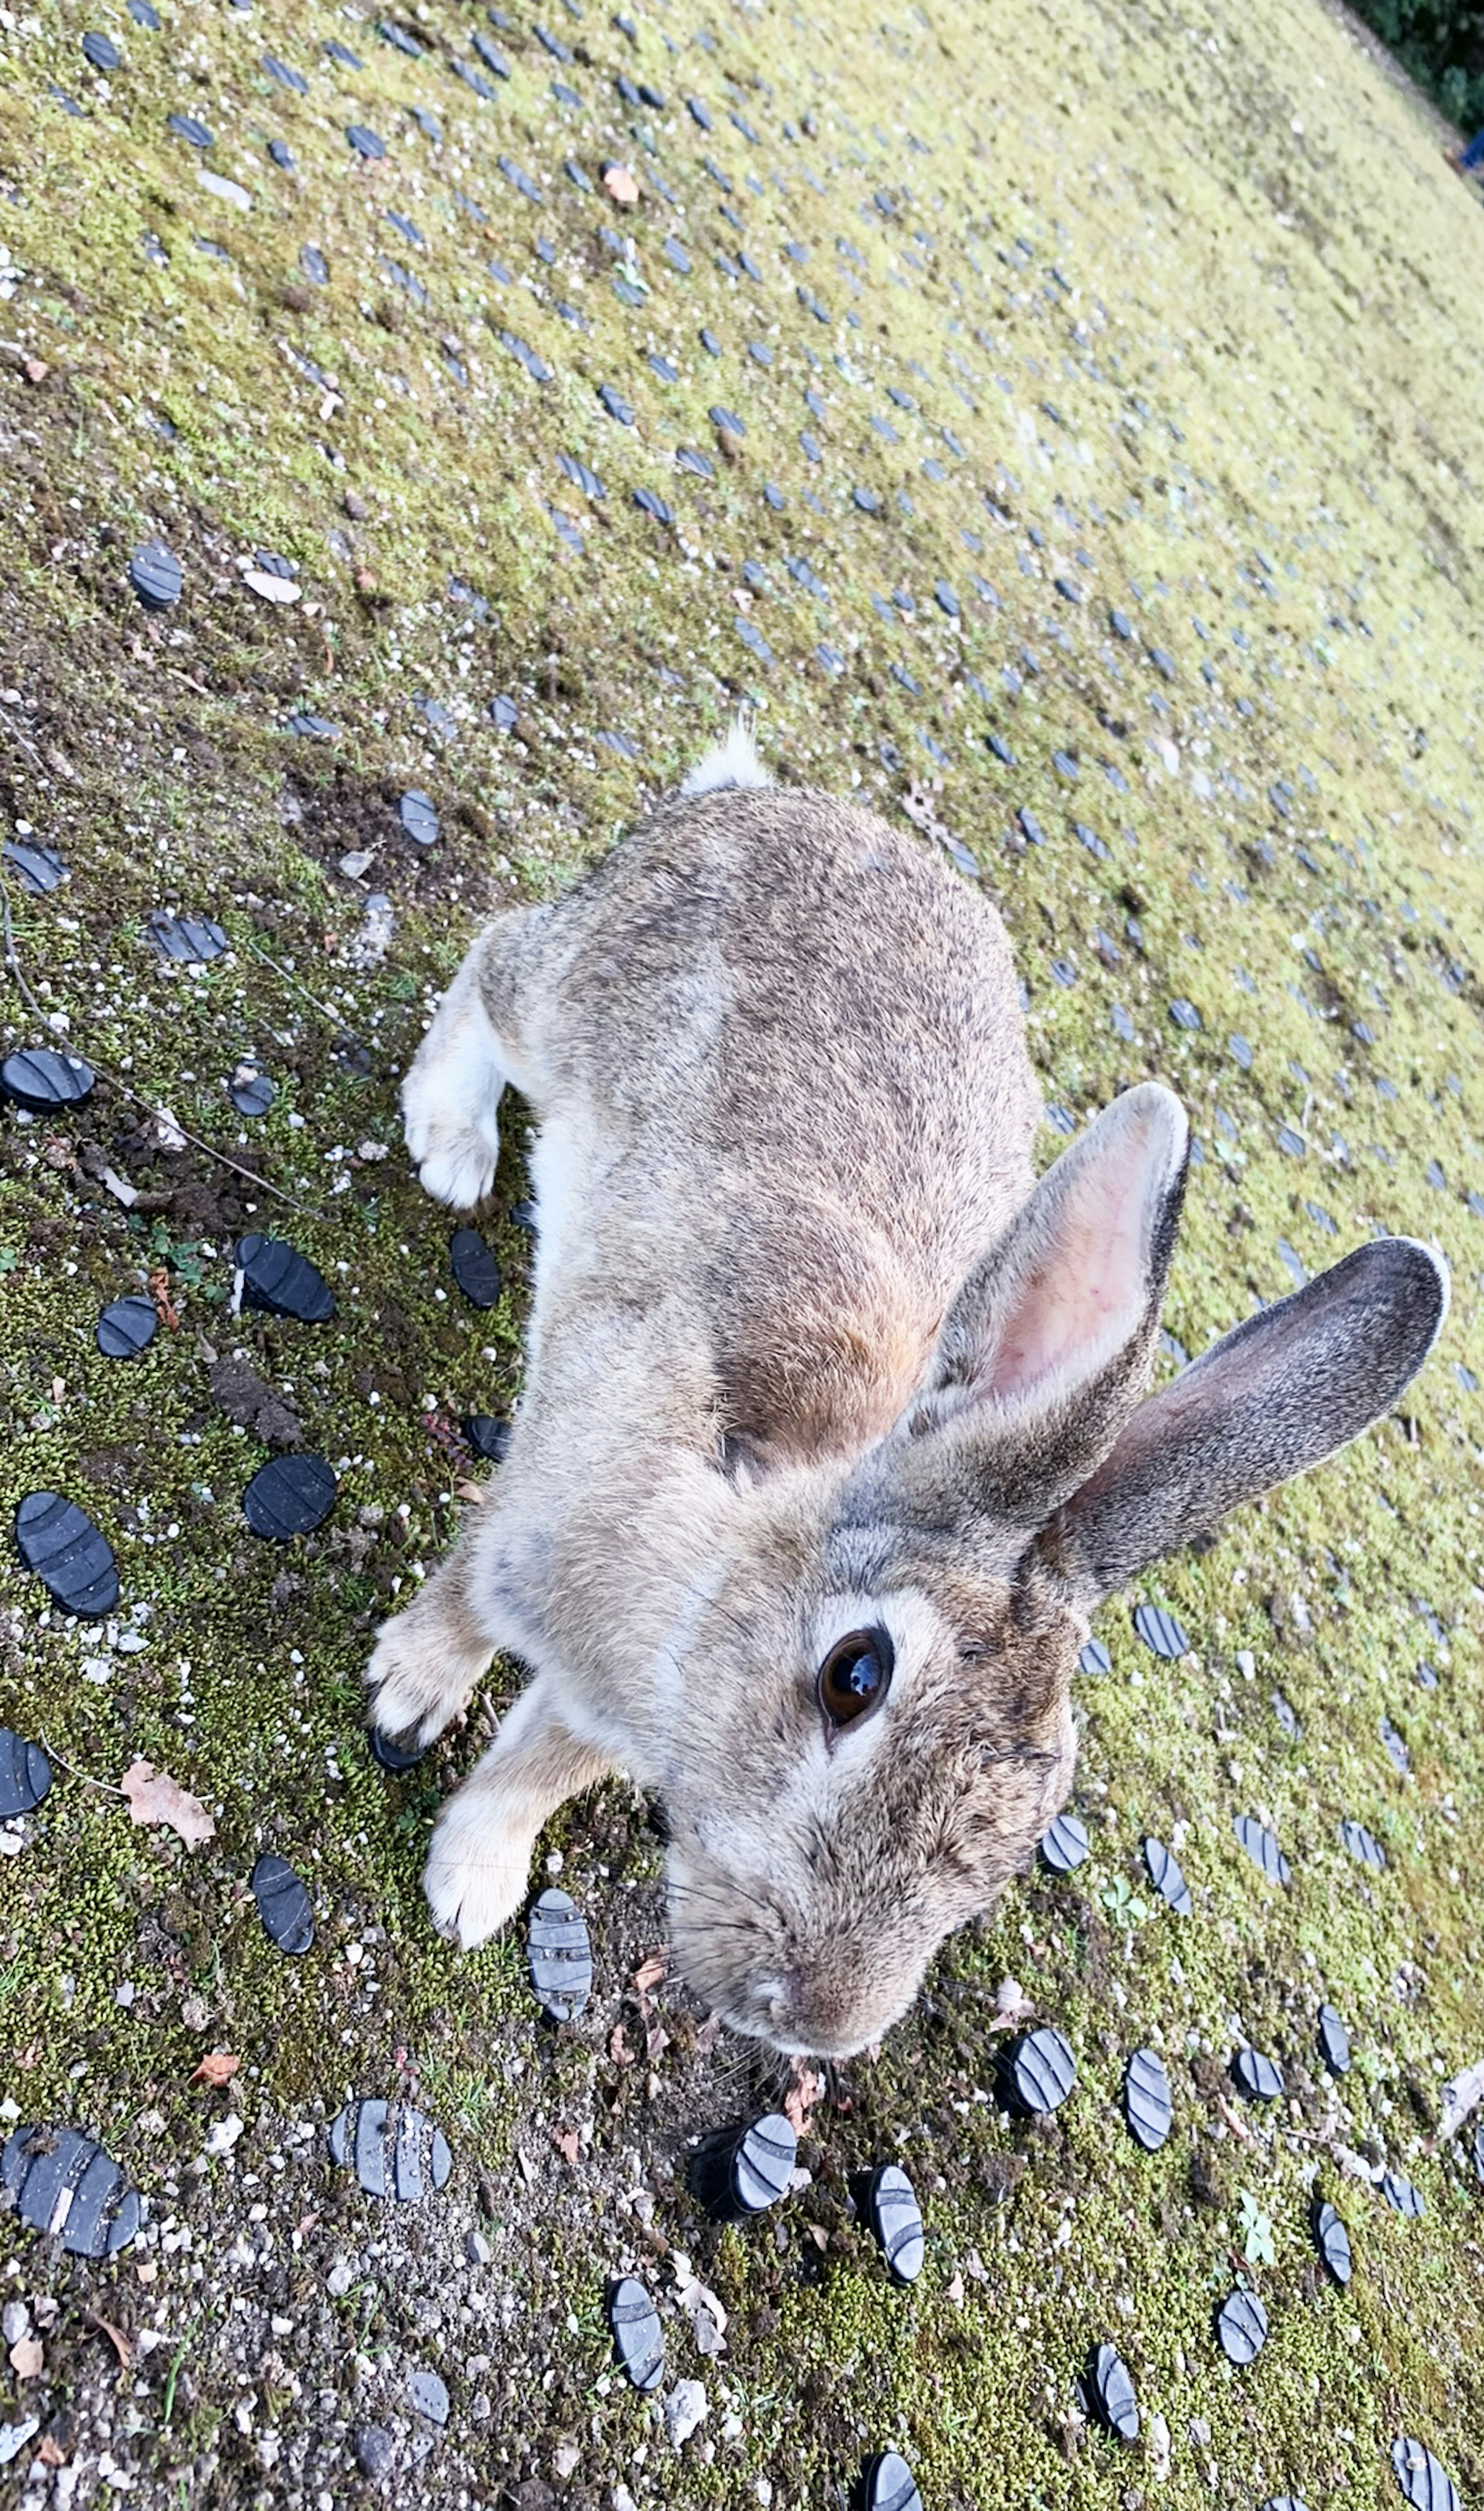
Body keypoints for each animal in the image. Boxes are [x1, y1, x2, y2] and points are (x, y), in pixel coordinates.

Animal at [371, 728, 1456, 2059]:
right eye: (855, 1675)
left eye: (1039, 1805)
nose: (817, 2025)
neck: (720, 1572)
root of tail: (778, 805)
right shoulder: (531, 1520)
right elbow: (465, 1612)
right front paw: (407, 1694)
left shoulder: (610, 1705)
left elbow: (534, 1771)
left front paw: (474, 1882)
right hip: (577, 1003)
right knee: (497, 958)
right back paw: (455, 1141)